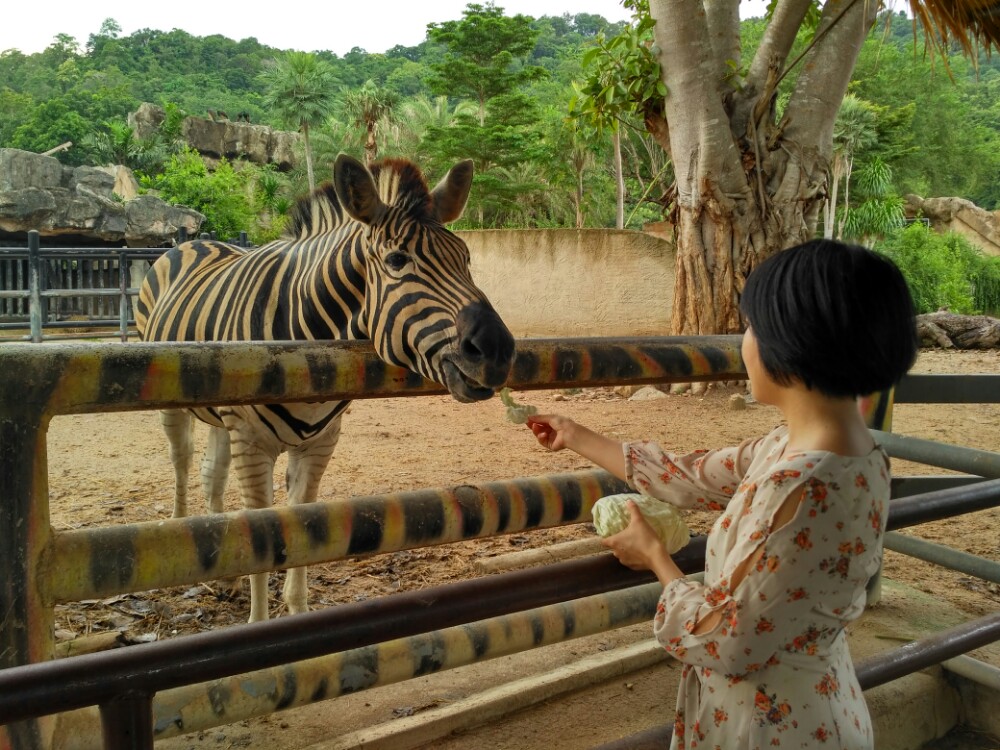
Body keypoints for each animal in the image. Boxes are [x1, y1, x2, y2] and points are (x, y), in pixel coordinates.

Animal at [135, 153, 516, 624]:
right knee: (182, 460)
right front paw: (259, 625)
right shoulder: (251, 442)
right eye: (397, 260)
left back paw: (226, 576)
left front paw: (297, 611)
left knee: (212, 472)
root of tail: (196, 243)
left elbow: (302, 526)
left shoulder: (320, 443)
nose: (497, 350)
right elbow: (260, 529)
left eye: (465, 258)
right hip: (169, 389)